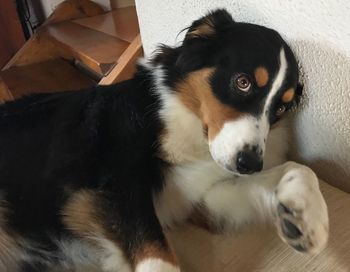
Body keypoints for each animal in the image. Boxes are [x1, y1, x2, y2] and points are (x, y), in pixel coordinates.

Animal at [0, 9, 328, 272]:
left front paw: (308, 217)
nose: (249, 164)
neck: (176, 119)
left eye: (281, 108)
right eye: (243, 82)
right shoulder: (112, 186)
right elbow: (158, 257)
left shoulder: (199, 199)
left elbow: (300, 168)